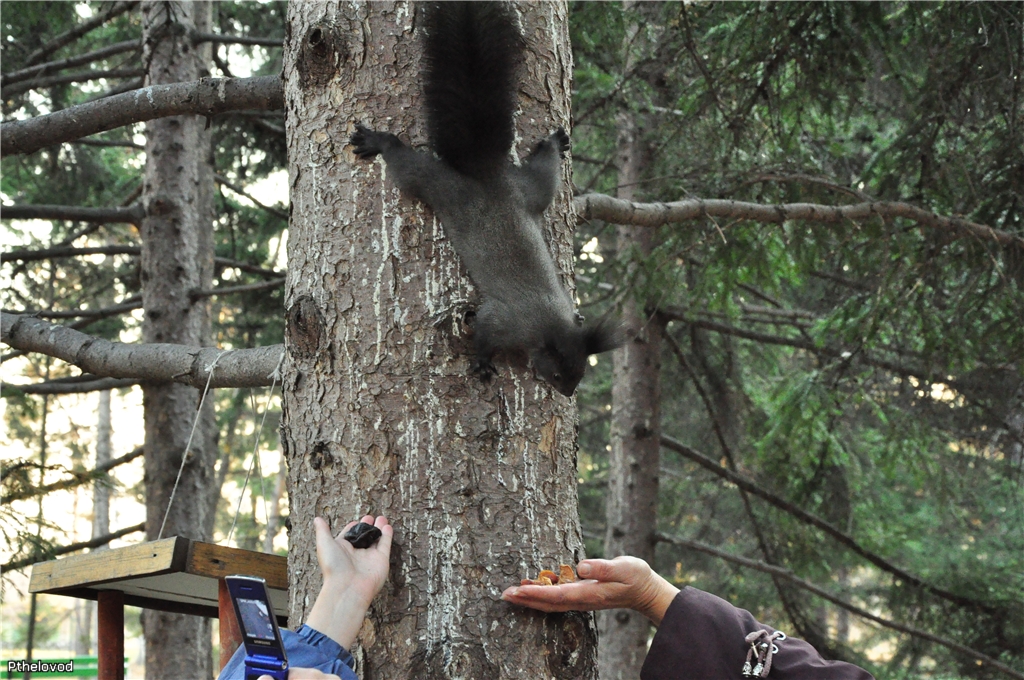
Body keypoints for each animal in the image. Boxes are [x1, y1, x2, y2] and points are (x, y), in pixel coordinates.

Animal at [352, 0, 618, 395]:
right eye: (557, 375)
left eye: (581, 372)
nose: (568, 393)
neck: (549, 324)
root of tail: (486, 170)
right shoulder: (504, 321)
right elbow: (483, 334)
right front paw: (481, 363)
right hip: (440, 187)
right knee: (407, 165)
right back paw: (379, 141)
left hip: (531, 191)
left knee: (545, 172)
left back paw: (555, 144)